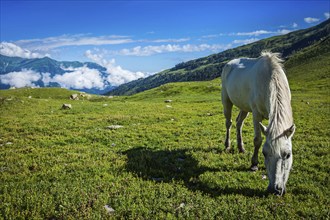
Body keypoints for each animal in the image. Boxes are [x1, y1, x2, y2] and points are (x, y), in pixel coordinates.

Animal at [222, 52, 296, 196]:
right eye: (264, 153)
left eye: (288, 155)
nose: (275, 189)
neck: (269, 80)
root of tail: (229, 63)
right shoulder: (256, 114)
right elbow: (257, 140)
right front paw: (254, 164)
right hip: (226, 101)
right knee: (229, 123)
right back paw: (227, 145)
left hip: (244, 107)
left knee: (239, 123)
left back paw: (241, 147)